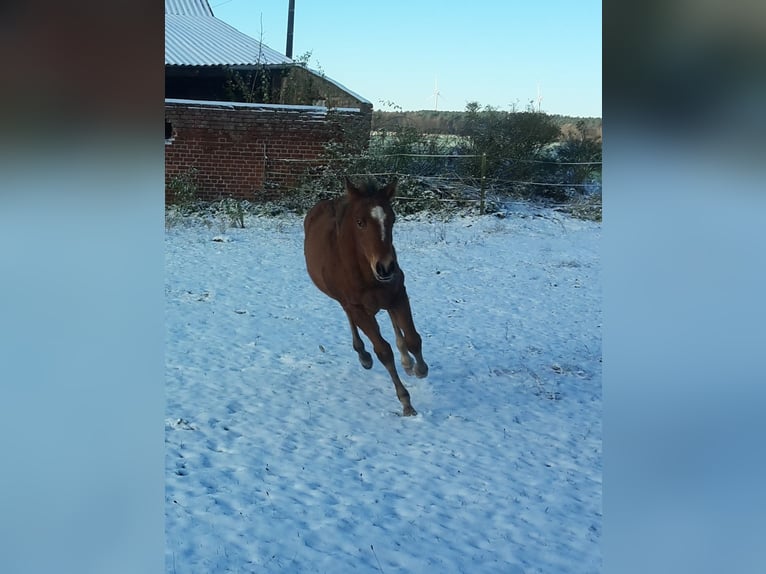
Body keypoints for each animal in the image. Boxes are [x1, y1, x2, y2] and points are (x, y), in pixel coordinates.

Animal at [304, 178, 428, 416]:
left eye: (392, 220)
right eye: (360, 222)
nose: (386, 267)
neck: (364, 271)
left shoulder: (398, 294)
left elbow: (413, 338)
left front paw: (420, 369)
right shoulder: (357, 308)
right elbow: (383, 351)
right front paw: (406, 402)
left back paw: (406, 361)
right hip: (347, 303)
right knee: (352, 319)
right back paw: (363, 355)